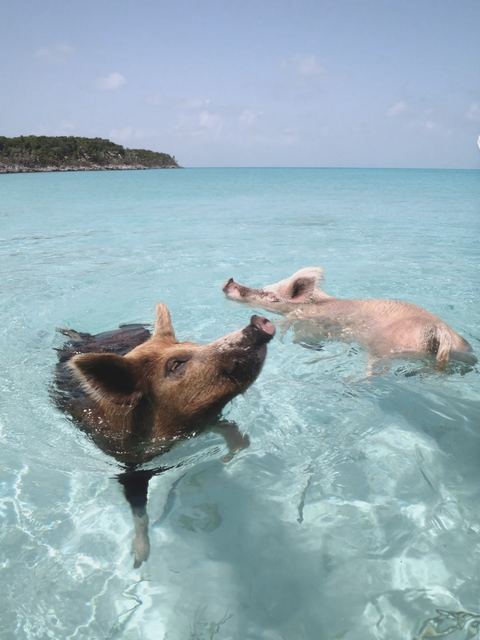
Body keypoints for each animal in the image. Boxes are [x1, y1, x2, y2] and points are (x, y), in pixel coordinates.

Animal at [54, 304, 275, 567]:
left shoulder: (205, 421)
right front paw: (139, 560)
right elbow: (139, 510)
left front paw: (227, 458)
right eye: (176, 364)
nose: (259, 321)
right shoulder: (130, 467)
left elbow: (233, 432)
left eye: (192, 344)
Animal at [223, 267, 476, 372]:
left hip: (385, 347)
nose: (228, 281)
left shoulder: (308, 323)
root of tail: (439, 330)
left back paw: (350, 382)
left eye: (268, 294)